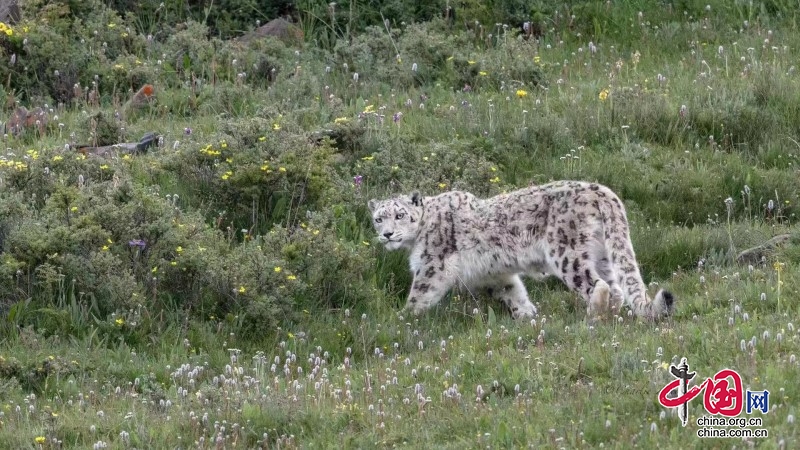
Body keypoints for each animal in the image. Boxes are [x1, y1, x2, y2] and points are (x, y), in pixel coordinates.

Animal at [368, 179, 676, 320]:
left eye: (399, 215)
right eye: (379, 218)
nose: (386, 234)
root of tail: (600, 190)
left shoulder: (432, 265)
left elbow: (418, 295)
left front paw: (402, 319)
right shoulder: (493, 275)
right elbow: (513, 291)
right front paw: (528, 315)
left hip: (566, 253)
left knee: (598, 286)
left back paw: (593, 317)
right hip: (601, 253)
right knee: (617, 286)